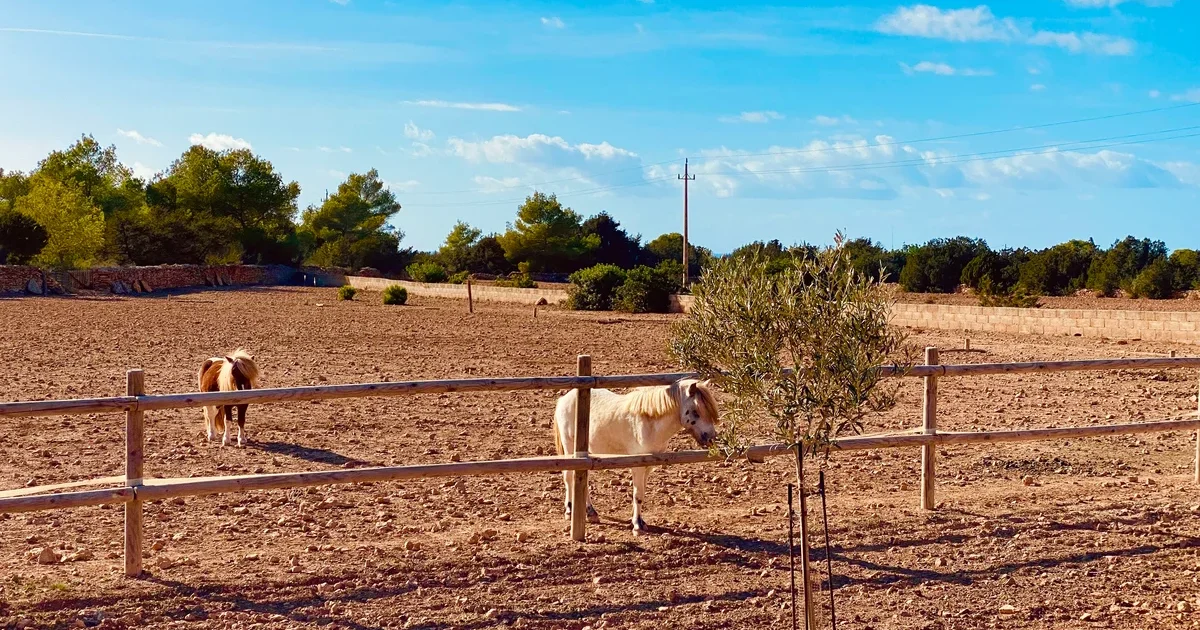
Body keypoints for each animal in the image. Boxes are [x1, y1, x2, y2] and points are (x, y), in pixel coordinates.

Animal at [552, 378, 718, 533]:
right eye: (696, 411)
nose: (711, 438)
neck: (650, 424)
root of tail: (564, 399)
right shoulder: (638, 465)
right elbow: (637, 494)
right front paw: (637, 525)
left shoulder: (648, 466)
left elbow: (641, 494)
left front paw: (639, 521)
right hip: (570, 448)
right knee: (569, 477)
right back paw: (569, 510)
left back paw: (590, 513)